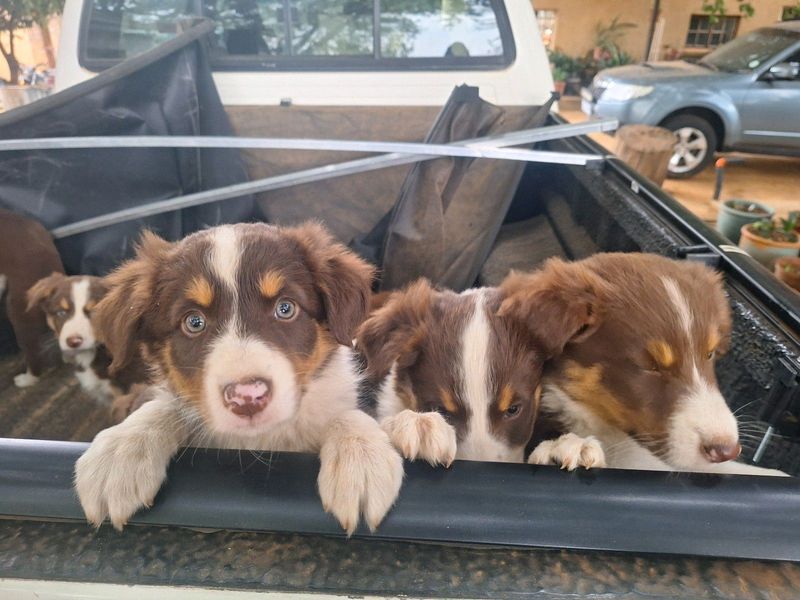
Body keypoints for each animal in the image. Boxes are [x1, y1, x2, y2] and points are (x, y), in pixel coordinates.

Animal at [74, 224, 404, 536]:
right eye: (194, 322)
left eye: (286, 308)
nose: (247, 397)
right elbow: (164, 407)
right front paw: (121, 451)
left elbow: (344, 414)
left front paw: (360, 458)